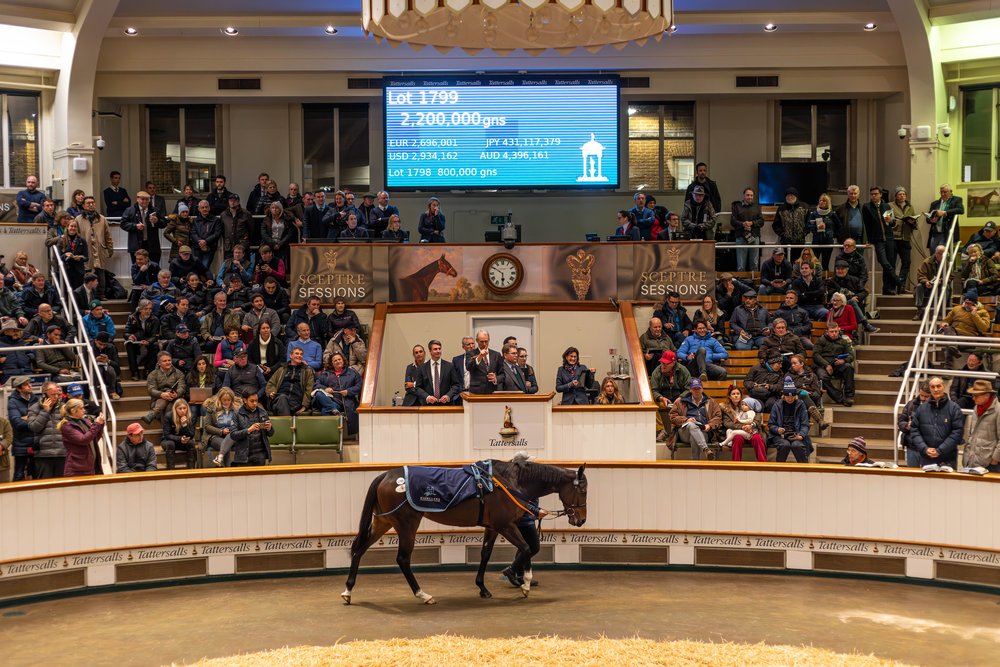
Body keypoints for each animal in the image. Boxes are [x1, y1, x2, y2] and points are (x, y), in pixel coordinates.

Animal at [344, 460, 584, 604]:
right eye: (582, 489)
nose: (580, 519)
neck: (507, 482)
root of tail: (384, 476)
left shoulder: (492, 527)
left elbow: (485, 554)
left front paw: (483, 588)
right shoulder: (506, 525)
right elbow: (525, 548)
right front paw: (525, 584)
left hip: (383, 522)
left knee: (359, 550)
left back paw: (348, 591)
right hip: (406, 525)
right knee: (402, 559)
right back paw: (423, 594)